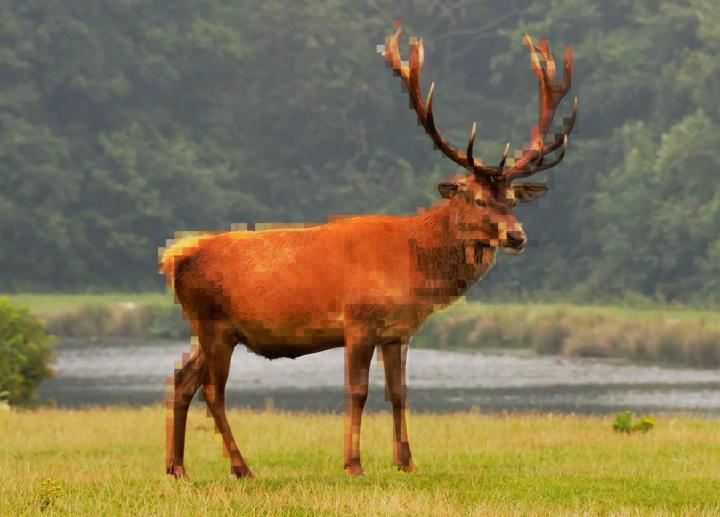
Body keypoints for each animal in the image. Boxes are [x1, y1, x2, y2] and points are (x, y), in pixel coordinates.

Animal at [160, 22, 577, 479]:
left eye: (514, 200)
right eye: (478, 199)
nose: (517, 236)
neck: (413, 268)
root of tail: (174, 258)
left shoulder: (398, 332)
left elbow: (399, 393)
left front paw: (407, 462)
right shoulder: (358, 321)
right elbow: (357, 391)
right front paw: (353, 464)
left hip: (218, 330)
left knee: (181, 377)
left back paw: (177, 468)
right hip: (212, 322)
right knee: (212, 390)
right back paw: (241, 467)